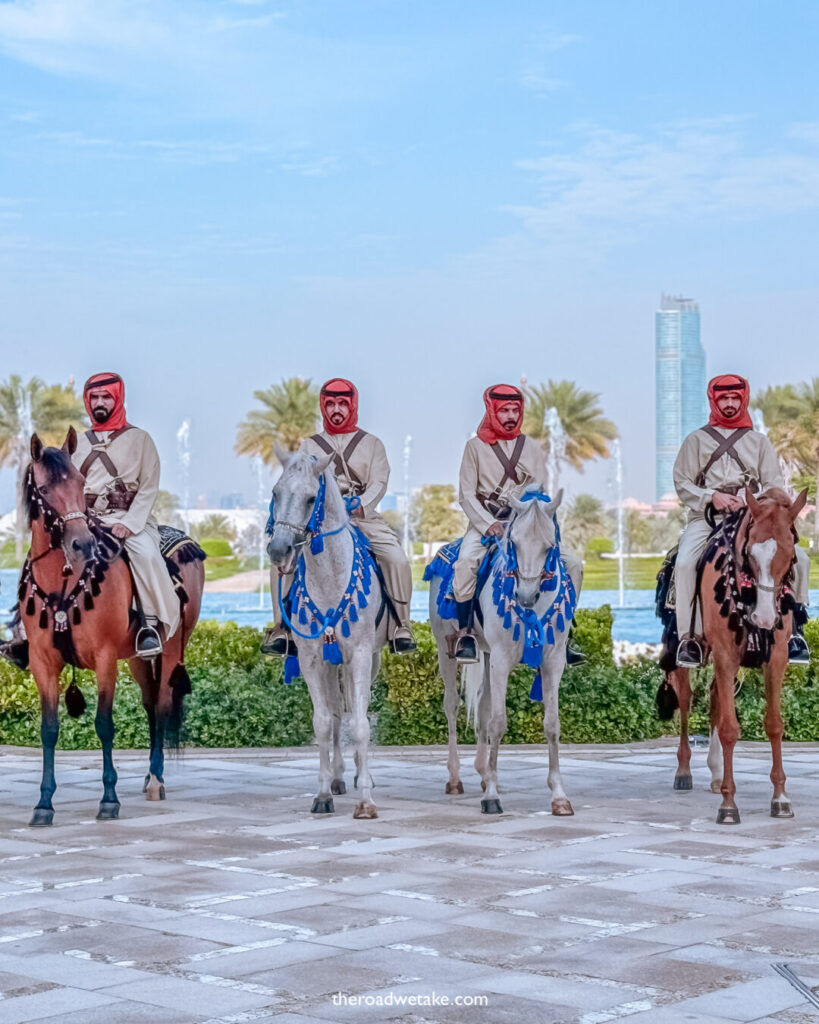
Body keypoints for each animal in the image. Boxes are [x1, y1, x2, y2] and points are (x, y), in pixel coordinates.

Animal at [21, 428, 203, 827]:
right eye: (44, 488)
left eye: (79, 482)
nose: (82, 543)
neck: (62, 581)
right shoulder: (42, 662)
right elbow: (48, 729)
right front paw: (43, 803)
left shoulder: (104, 659)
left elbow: (104, 724)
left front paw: (108, 799)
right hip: (136, 657)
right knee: (150, 705)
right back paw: (151, 775)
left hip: (169, 648)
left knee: (161, 705)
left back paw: (156, 779)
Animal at [266, 448, 386, 815]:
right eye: (275, 493)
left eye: (309, 498)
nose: (279, 550)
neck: (329, 575)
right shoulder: (311, 658)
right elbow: (322, 722)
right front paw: (322, 794)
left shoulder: (359, 655)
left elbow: (360, 724)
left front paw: (367, 800)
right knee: (334, 714)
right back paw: (337, 777)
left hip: (368, 659)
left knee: (356, 710)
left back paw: (362, 775)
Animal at [427, 493, 577, 815]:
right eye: (514, 543)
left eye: (549, 545)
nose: (526, 596)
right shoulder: (501, 660)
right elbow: (498, 722)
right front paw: (492, 797)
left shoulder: (552, 662)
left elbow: (552, 725)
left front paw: (559, 795)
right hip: (446, 650)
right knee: (452, 705)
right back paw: (456, 777)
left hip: (485, 655)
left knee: (483, 705)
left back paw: (484, 773)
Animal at [659, 485, 806, 823]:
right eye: (750, 552)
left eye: (790, 551)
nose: (764, 617)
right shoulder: (726, 654)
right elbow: (729, 728)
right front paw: (729, 805)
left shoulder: (776, 658)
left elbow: (774, 724)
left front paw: (780, 798)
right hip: (685, 648)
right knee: (685, 699)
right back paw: (684, 770)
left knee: (714, 695)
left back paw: (715, 775)